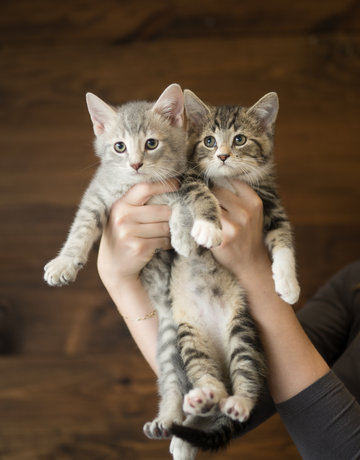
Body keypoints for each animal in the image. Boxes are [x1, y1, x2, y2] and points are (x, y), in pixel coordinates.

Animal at [169, 89, 300, 452]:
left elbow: (283, 237)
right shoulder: (190, 175)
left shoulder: (270, 202)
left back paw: (238, 402)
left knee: (246, 371)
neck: (230, 181)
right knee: (206, 376)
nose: (224, 156)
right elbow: (196, 194)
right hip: (190, 336)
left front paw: (288, 283)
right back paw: (202, 399)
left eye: (239, 139)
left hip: (242, 327)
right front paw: (197, 230)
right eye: (209, 141)